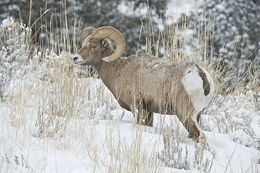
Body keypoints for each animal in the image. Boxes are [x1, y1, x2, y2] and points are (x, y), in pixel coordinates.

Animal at [72, 26, 214, 141]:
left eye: (93, 46)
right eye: (83, 44)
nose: (75, 58)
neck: (119, 69)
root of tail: (201, 74)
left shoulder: (136, 106)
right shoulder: (149, 111)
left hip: (186, 115)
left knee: (200, 137)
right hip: (197, 116)